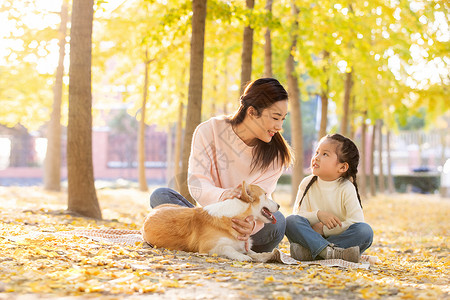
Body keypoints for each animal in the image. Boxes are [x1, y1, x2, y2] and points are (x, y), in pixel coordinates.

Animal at [142, 182, 280, 262]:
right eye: (265, 194)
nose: (279, 205)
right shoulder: (209, 247)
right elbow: (229, 249)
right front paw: (242, 256)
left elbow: (254, 252)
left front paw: (265, 255)